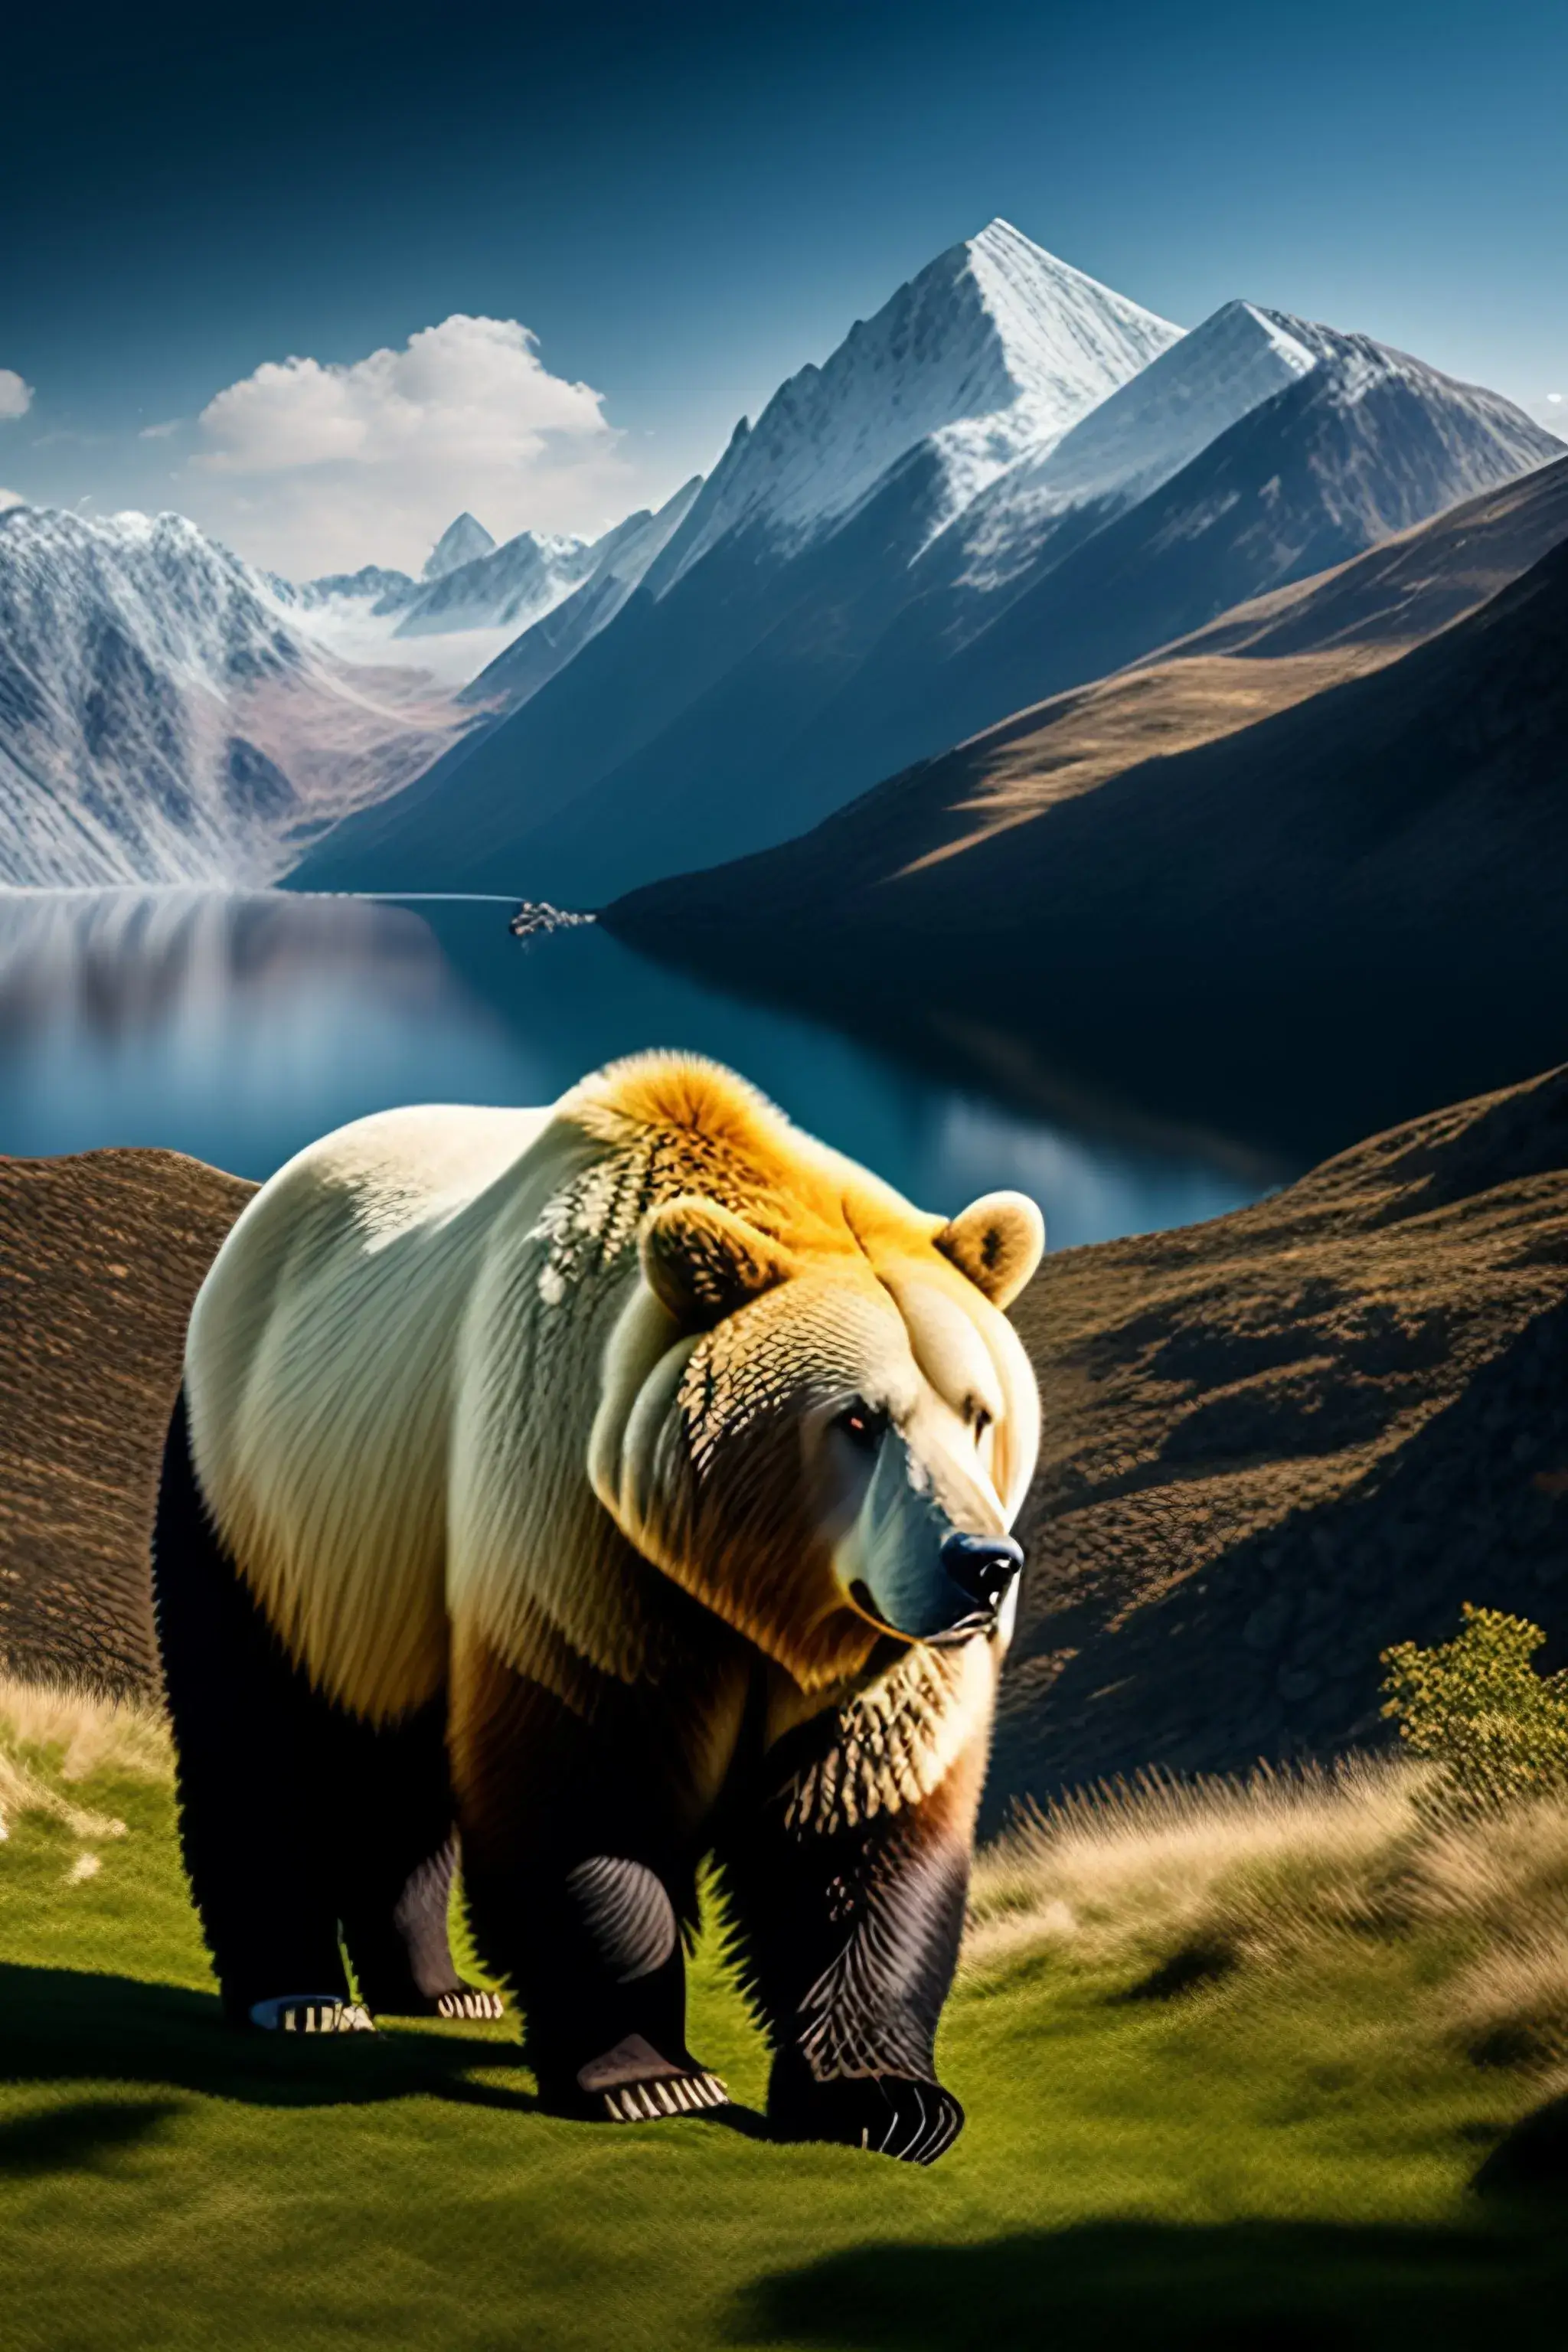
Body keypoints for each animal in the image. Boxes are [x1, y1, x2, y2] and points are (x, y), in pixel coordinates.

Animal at [152, 1051, 1043, 2162]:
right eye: (856, 1419)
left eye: (978, 1412)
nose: (982, 1565)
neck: (757, 1589)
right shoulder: (585, 1542)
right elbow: (586, 1788)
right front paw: (648, 2076)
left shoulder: (874, 1652)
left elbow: (859, 1825)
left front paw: (887, 2098)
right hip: (258, 1487)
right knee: (254, 1727)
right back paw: (302, 1996)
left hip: (389, 1555)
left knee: (401, 1757)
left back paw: (437, 1988)